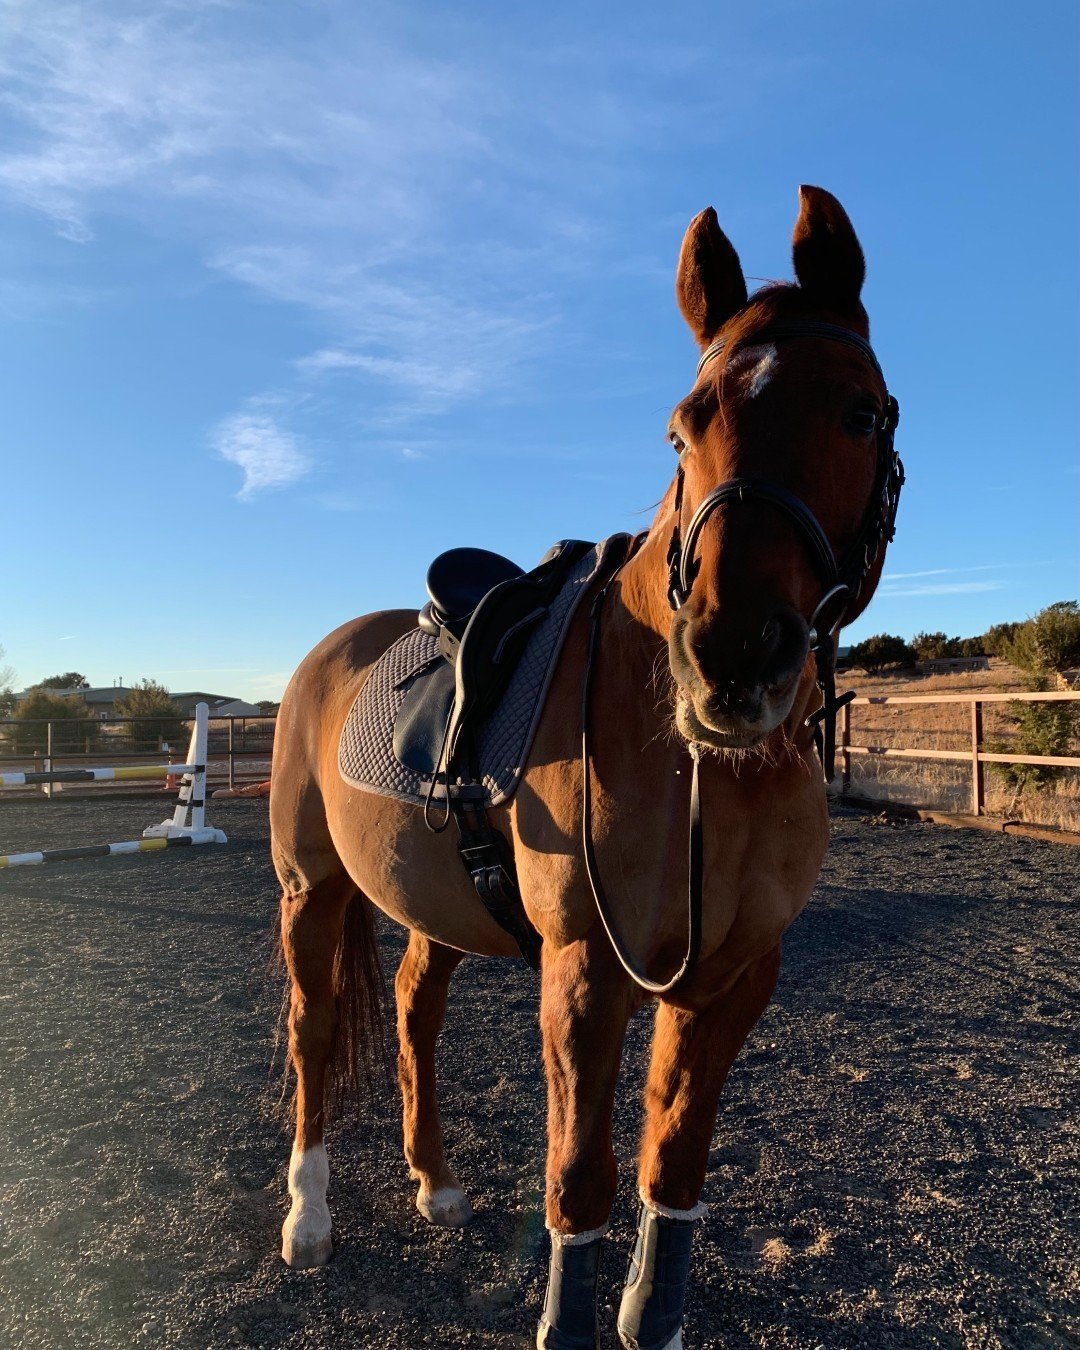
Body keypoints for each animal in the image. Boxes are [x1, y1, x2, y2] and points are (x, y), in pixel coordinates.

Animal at [272, 187, 901, 1350]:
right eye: (682, 425)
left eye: (858, 413)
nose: (730, 657)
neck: (706, 772)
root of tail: (330, 654)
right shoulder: (586, 975)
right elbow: (580, 1180)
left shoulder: (735, 976)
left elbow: (672, 1167)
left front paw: (653, 1317)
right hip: (311, 889)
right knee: (314, 1030)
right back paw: (308, 1215)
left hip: (432, 908)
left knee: (414, 1010)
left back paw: (434, 1182)